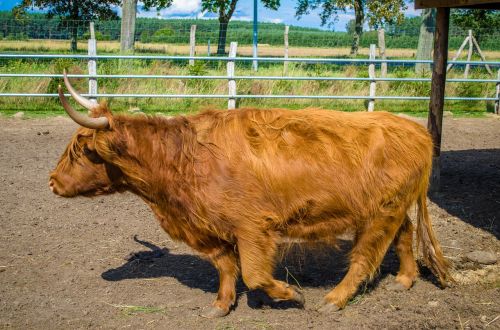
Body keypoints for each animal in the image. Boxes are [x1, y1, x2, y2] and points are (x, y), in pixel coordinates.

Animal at [49, 71, 450, 318]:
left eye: (80, 151)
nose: (52, 181)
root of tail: (415, 130)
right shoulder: (211, 226)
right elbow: (226, 266)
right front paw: (221, 305)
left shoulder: (253, 226)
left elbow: (255, 273)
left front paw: (292, 294)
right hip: (391, 208)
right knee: (404, 236)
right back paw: (404, 280)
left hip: (380, 212)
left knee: (365, 257)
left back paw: (333, 300)